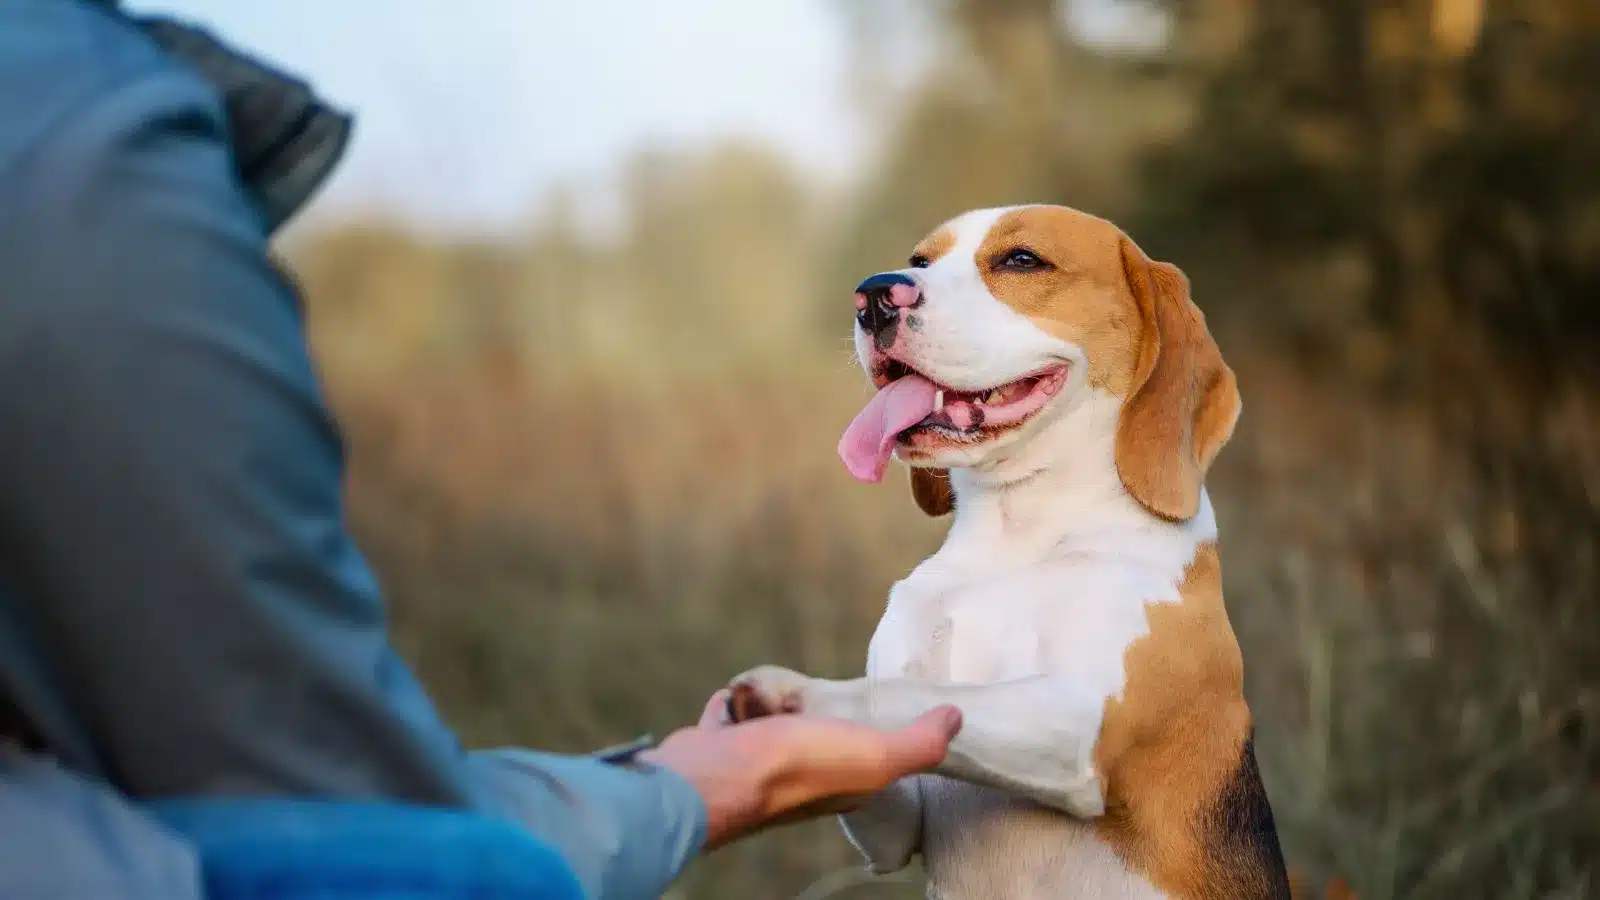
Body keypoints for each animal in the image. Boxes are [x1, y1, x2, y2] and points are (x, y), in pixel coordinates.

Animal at [732, 204, 1292, 896]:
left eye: (1022, 260)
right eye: (920, 261)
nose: (873, 296)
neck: (1016, 536)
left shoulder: (1078, 725)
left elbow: (899, 695)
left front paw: (794, 697)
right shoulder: (897, 828)